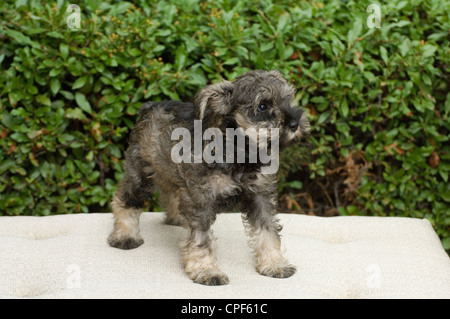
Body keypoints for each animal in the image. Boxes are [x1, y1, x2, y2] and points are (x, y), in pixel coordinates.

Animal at [109, 69, 310, 284]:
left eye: (287, 99)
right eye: (263, 105)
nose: (295, 123)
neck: (239, 151)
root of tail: (150, 107)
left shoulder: (260, 197)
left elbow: (268, 232)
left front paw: (274, 264)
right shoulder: (201, 199)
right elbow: (201, 239)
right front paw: (206, 270)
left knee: (171, 193)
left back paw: (176, 217)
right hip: (141, 172)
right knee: (124, 199)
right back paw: (124, 235)